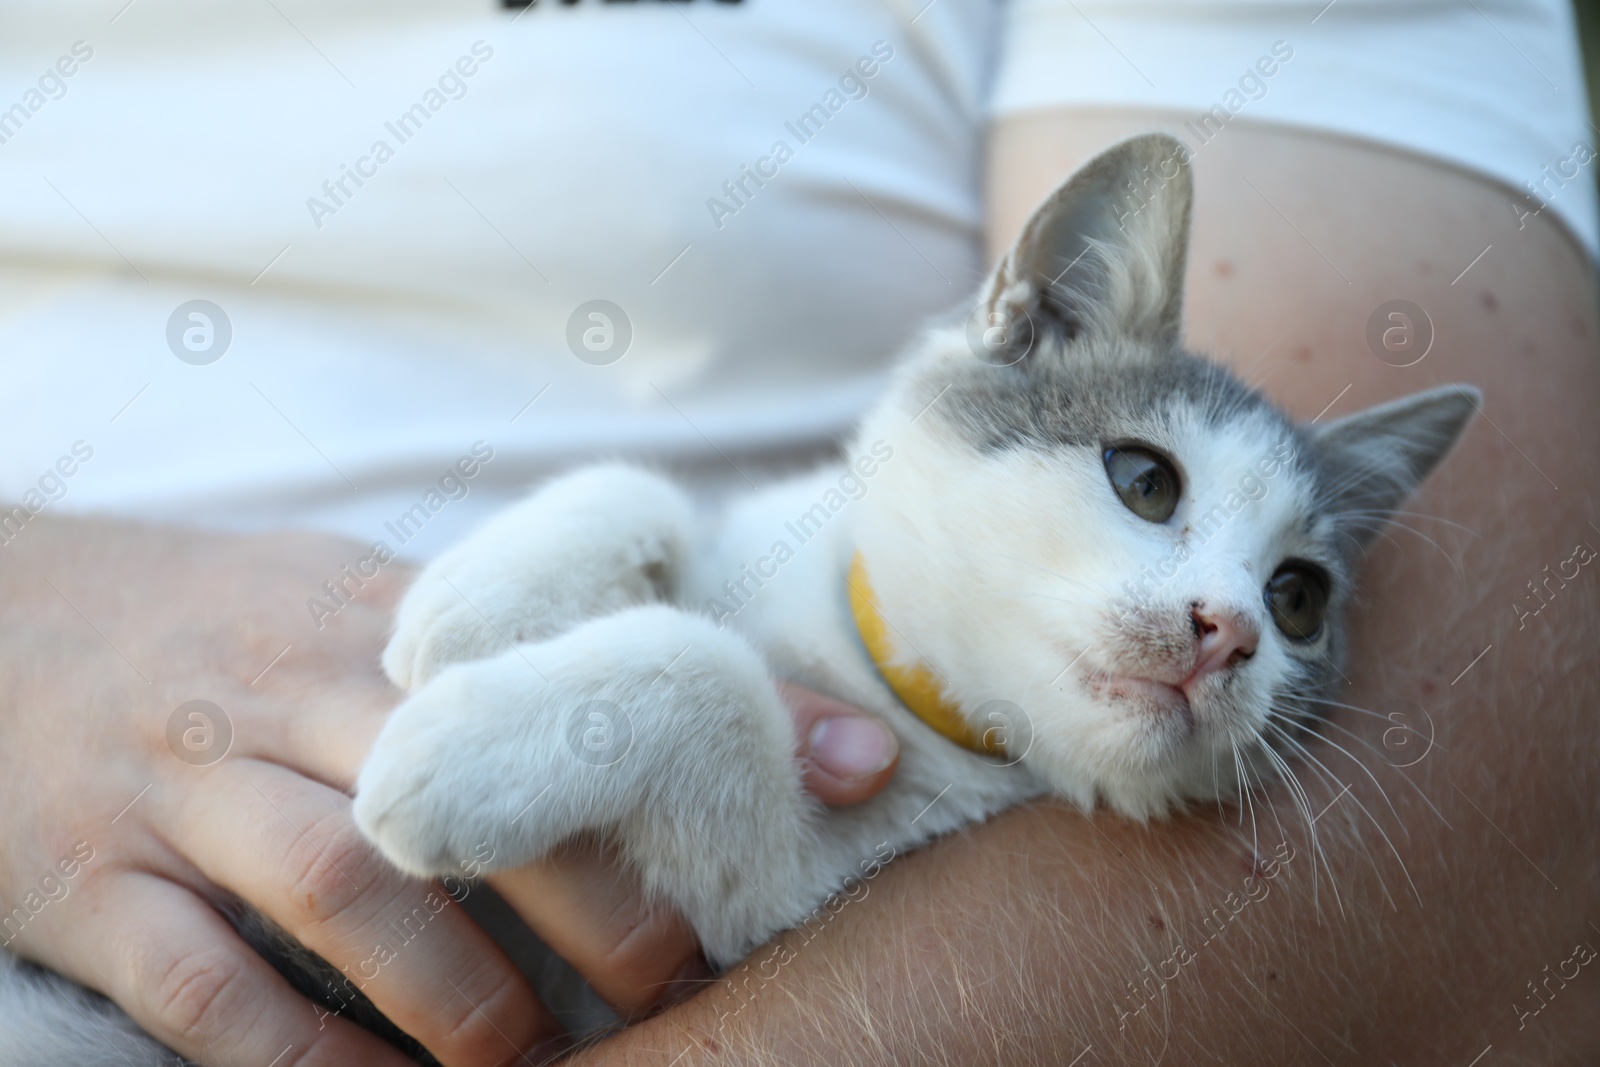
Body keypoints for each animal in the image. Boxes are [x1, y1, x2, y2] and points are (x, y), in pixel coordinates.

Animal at [0, 135, 1472, 1067]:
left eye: (1300, 598)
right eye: (1145, 477)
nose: (1230, 631)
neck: (880, 675)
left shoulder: (753, 915)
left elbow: (709, 678)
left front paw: (465, 746)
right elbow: (650, 494)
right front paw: (479, 597)